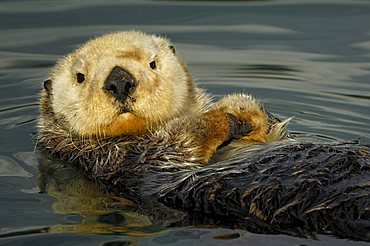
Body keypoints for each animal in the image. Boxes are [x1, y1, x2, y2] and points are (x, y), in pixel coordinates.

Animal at [36, 29, 370, 241]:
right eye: (80, 77)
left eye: (152, 63)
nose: (120, 80)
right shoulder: (119, 159)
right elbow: (179, 144)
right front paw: (219, 118)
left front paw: (243, 110)